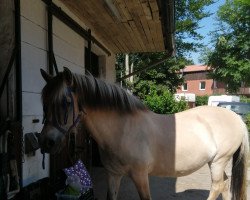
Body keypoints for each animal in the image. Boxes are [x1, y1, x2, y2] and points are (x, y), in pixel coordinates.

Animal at [38, 67, 248, 200]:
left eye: (65, 102)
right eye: (44, 101)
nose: (46, 142)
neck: (122, 130)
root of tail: (236, 118)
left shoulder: (140, 176)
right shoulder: (113, 175)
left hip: (218, 161)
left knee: (217, 187)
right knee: (225, 186)